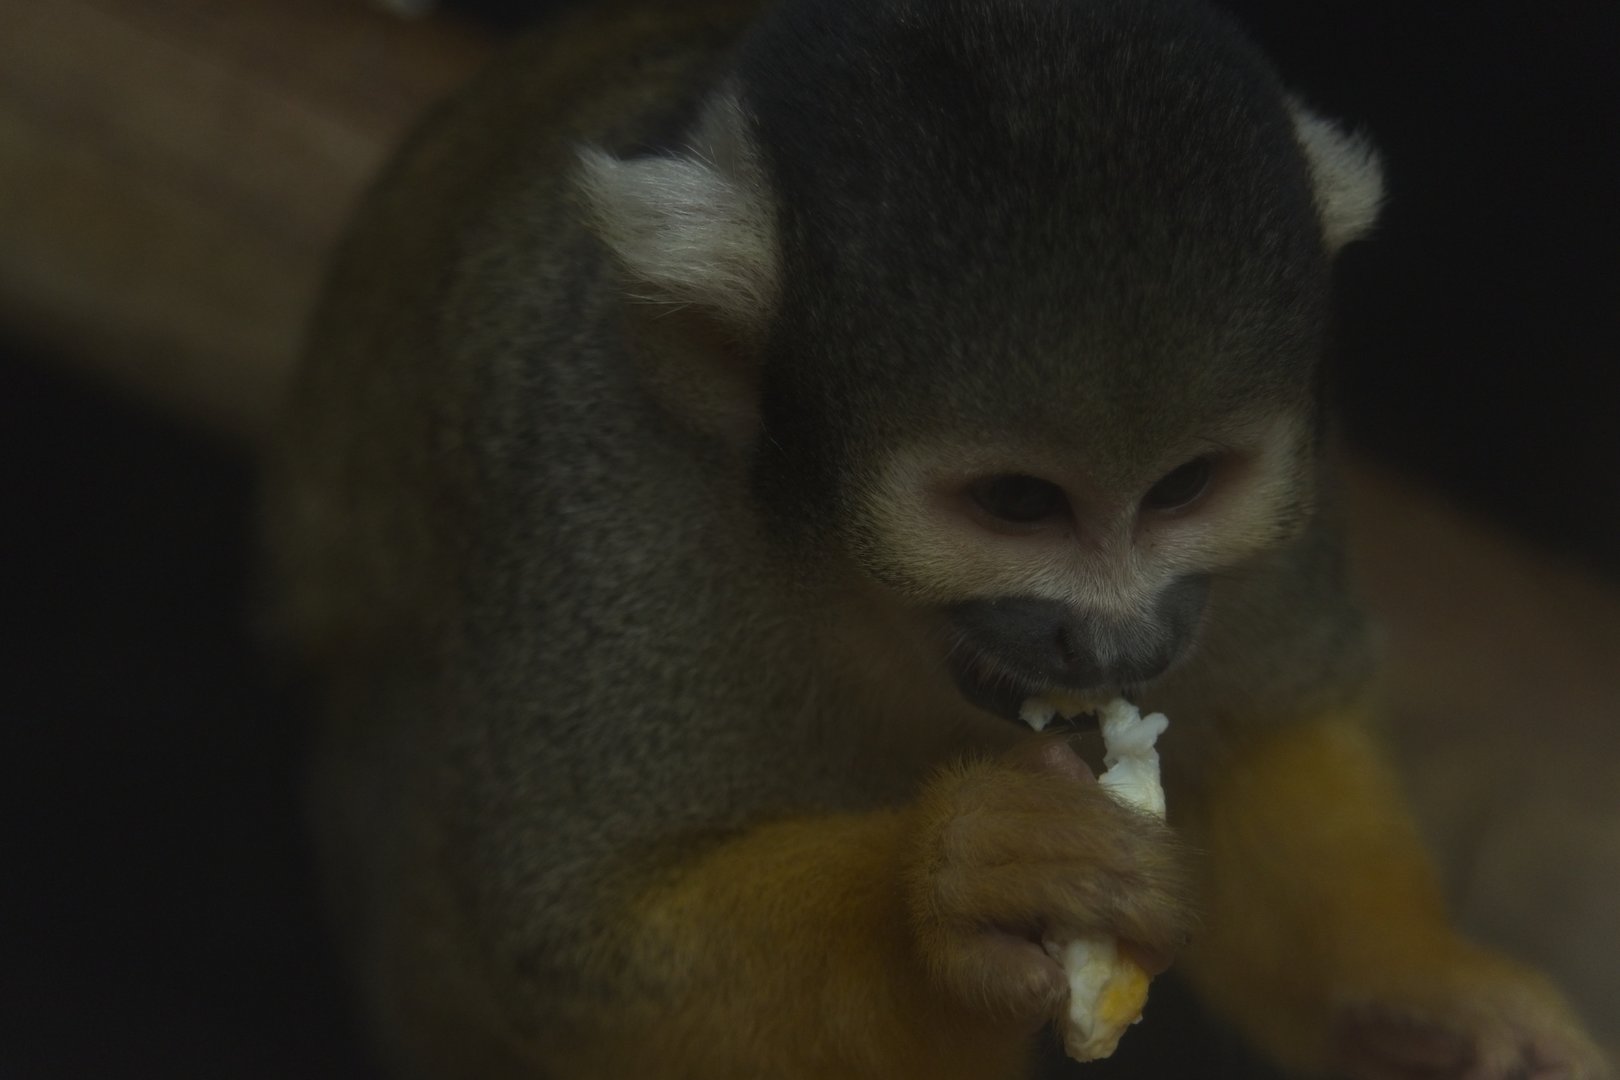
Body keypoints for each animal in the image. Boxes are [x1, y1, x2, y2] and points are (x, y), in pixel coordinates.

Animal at [265, 0, 1613, 1077]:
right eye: (1018, 504)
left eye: (1183, 486)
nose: (1117, 643)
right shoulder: (606, 495)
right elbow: (561, 958)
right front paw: (941, 892)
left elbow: (1262, 742)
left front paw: (1420, 1000)